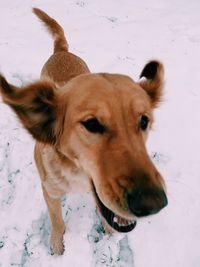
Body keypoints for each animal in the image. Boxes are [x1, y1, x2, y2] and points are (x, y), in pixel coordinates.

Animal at [0, 8, 167, 255]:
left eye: (144, 121)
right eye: (92, 124)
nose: (154, 204)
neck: (75, 171)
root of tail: (61, 50)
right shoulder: (49, 192)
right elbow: (57, 221)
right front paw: (57, 244)